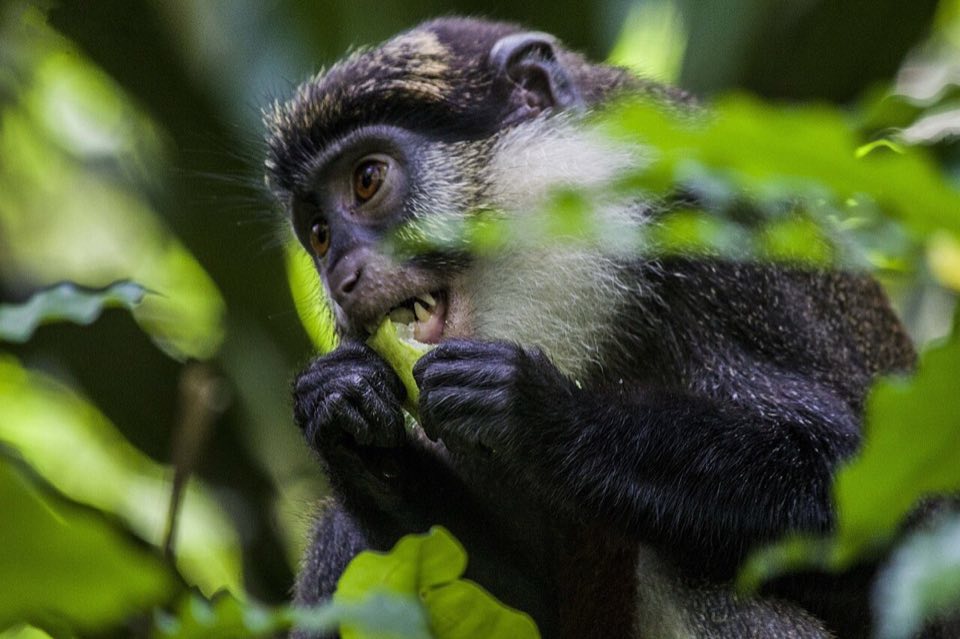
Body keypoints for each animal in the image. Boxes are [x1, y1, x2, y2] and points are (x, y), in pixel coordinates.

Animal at [263, 17, 917, 639]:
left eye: (367, 179)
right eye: (317, 234)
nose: (341, 275)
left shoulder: (714, 232)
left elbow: (865, 488)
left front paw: (538, 414)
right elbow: (521, 600)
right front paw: (341, 404)